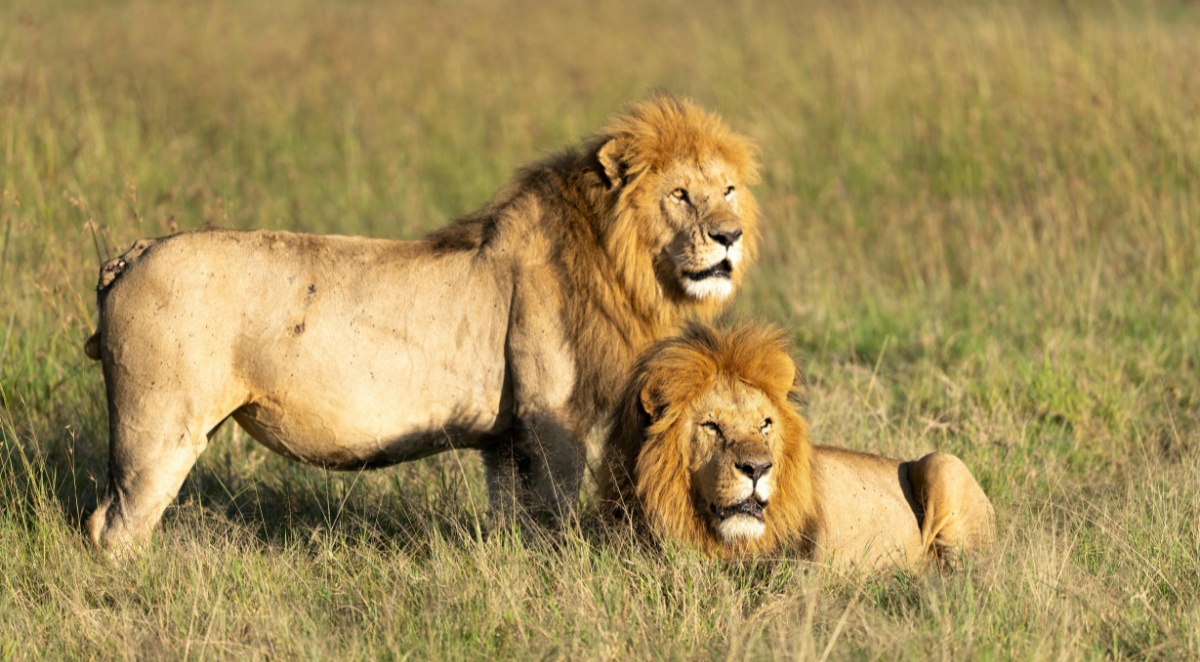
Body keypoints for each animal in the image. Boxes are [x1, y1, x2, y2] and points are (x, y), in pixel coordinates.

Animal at [83, 96, 762, 553]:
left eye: (728, 189)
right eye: (680, 194)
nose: (730, 236)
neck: (619, 260)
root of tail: (130, 254)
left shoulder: (506, 439)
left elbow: (513, 520)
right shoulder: (553, 420)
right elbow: (558, 516)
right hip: (159, 427)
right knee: (111, 526)